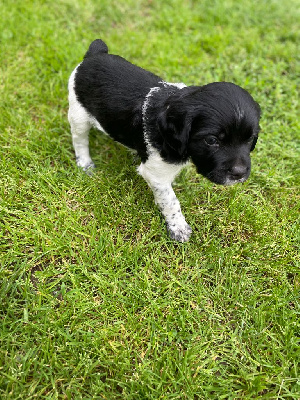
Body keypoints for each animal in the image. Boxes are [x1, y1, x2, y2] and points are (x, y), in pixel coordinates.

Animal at [68, 39, 260, 242]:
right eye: (211, 140)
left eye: (250, 139)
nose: (239, 173)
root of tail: (95, 53)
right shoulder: (156, 175)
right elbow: (170, 200)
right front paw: (178, 228)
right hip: (78, 114)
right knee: (79, 140)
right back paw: (85, 164)